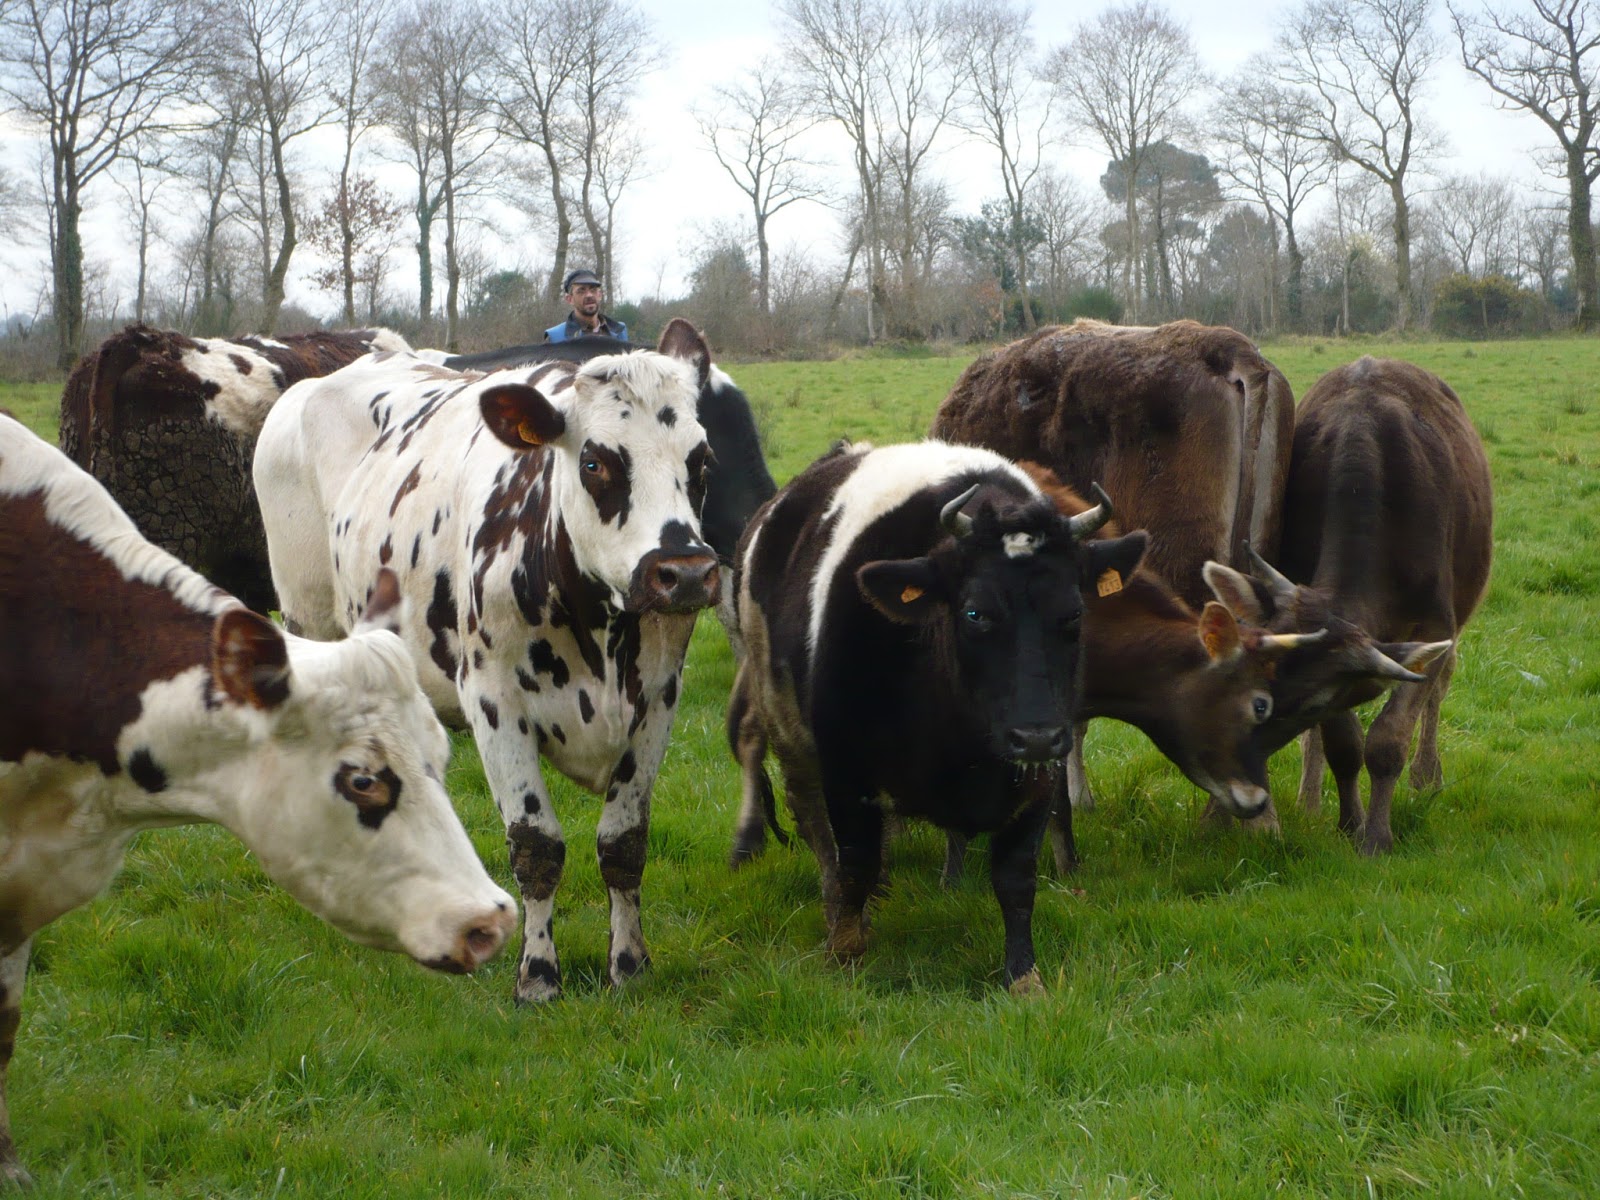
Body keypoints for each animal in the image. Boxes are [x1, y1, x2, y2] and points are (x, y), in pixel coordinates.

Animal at [256, 320, 722, 1004]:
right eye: (594, 462)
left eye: (702, 460)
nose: (685, 573)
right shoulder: (493, 700)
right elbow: (537, 848)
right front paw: (538, 976)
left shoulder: (659, 699)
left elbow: (623, 844)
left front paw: (630, 965)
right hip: (308, 616)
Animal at [726, 439, 1148, 992]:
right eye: (974, 613)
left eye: (1074, 612)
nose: (1034, 736)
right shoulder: (845, 769)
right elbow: (854, 859)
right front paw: (844, 952)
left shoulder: (1039, 778)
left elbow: (1016, 878)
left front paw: (1024, 977)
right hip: (788, 729)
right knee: (816, 827)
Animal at [1200, 358, 1489, 854]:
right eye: (1259, 678)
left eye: (1311, 703)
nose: (1240, 751)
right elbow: (1344, 744)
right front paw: (1349, 823)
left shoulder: (1435, 625)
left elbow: (1389, 738)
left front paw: (1376, 837)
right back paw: (1309, 799)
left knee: (1441, 686)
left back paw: (1427, 776)